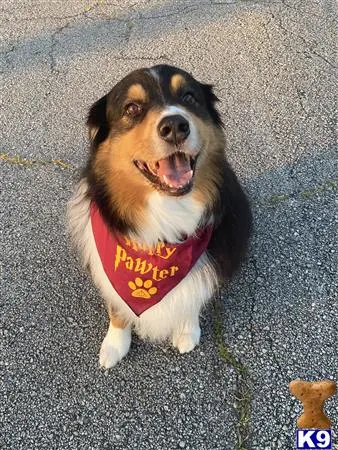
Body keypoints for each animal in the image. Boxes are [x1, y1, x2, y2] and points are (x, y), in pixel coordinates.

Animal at [66, 64, 251, 370]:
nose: (175, 126)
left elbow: (193, 292)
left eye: (189, 97)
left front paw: (187, 330)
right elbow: (117, 307)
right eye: (132, 108)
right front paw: (115, 344)